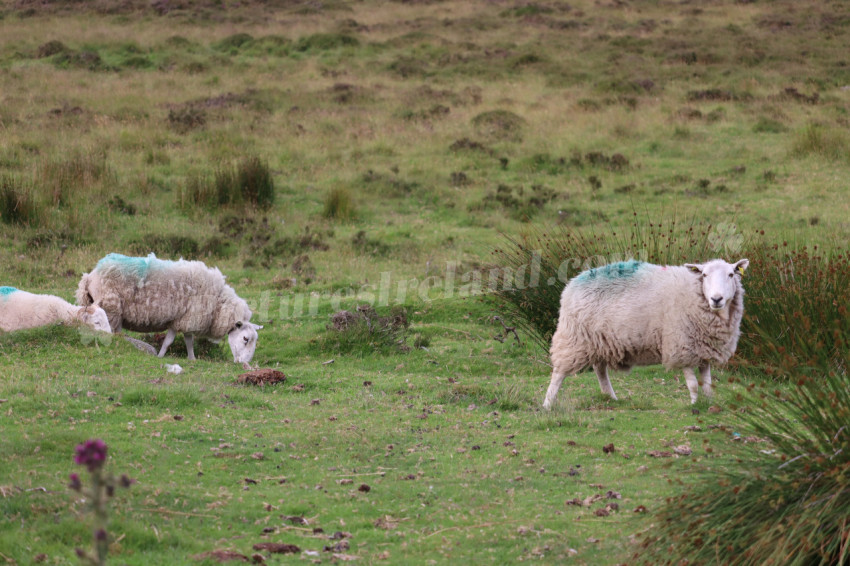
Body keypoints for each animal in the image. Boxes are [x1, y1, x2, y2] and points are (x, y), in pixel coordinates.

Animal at [76, 253, 261, 366]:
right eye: (245, 339)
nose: (245, 364)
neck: (219, 303)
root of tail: (89, 276)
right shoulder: (184, 318)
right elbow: (169, 341)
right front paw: (160, 356)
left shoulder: (185, 319)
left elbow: (188, 341)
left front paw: (192, 358)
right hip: (112, 308)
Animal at [543, 258, 748, 408]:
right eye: (704, 275)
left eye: (731, 274)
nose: (716, 299)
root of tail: (573, 282)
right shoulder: (682, 346)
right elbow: (693, 384)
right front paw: (694, 405)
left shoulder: (702, 350)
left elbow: (706, 384)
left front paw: (710, 404)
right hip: (574, 338)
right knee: (559, 372)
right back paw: (548, 404)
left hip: (599, 341)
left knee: (600, 369)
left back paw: (611, 397)